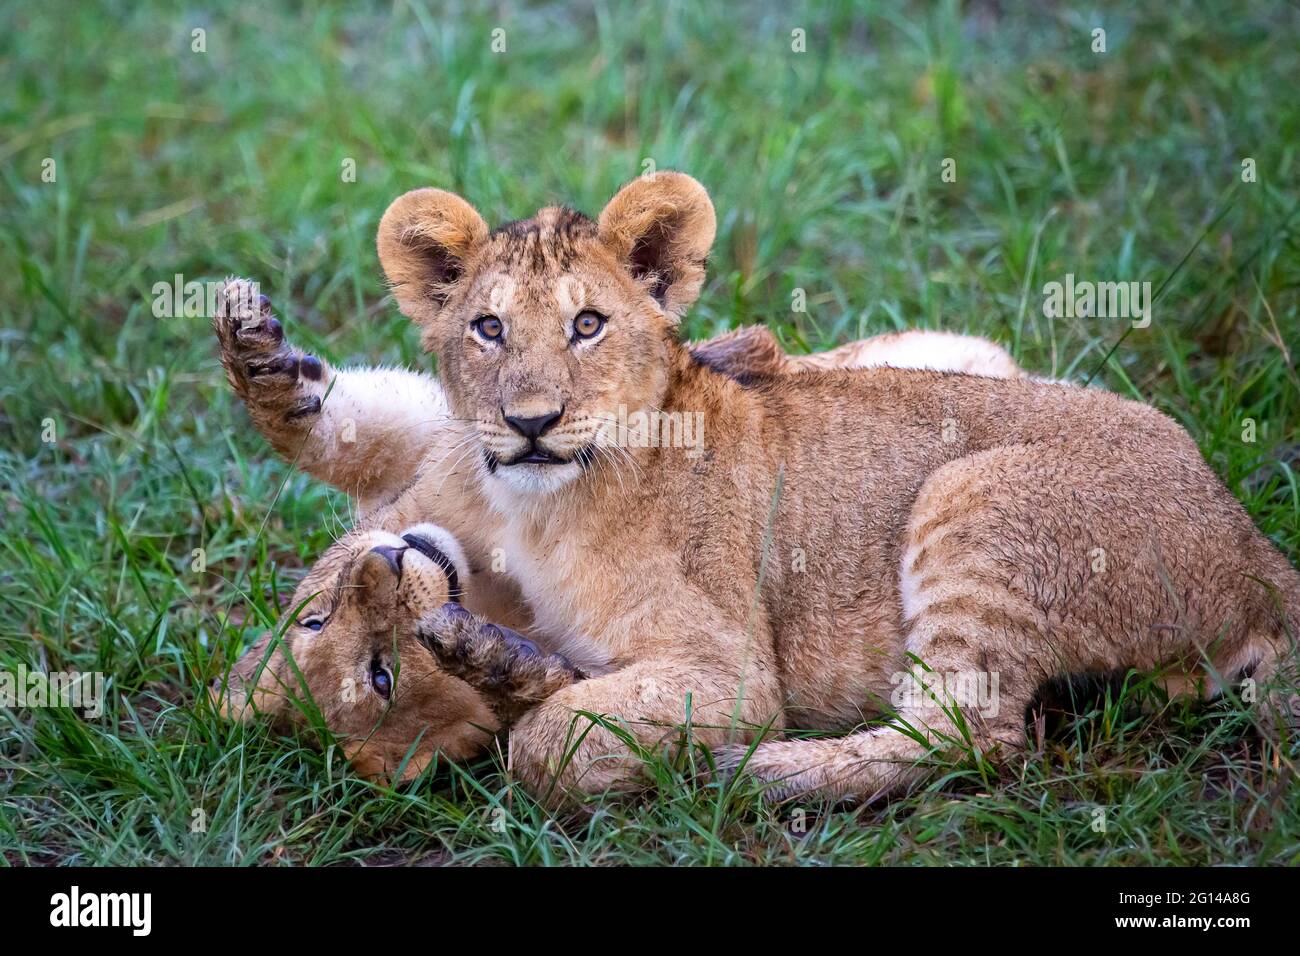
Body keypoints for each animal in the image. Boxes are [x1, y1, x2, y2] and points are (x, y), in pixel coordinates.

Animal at [218, 172, 1299, 804]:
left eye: (317, 621)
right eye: (376, 673)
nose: (529, 422)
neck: (503, 542)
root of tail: (1256, 553)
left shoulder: (730, 667)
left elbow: (547, 746)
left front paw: (258, 350)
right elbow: (546, 720)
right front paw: (508, 668)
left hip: (972, 492)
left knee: (974, 732)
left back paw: (760, 770)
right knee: (981, 731)